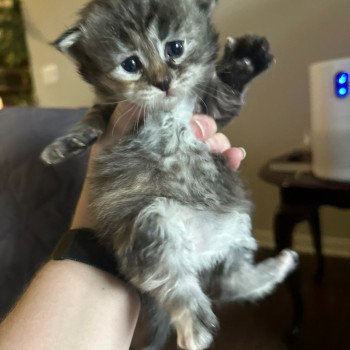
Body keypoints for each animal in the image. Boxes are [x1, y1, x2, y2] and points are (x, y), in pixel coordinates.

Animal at [41, 1, 298, 348]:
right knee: (178, 282)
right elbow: (92, 116)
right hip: (151, 224)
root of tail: (199, 254)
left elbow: (226, 94)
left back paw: (278, 266)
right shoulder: (113, 112)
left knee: (230, 283)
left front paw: (246, 60)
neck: (166, 112)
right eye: (130, 64)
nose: (163, 83)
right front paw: (64, 145)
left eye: (175, 48)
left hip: (235, 227)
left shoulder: (212, 109)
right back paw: (195, 327)